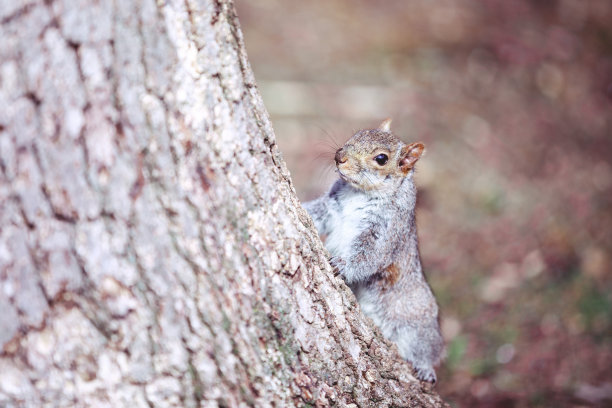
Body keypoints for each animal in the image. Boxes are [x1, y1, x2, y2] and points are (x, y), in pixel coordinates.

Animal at [304, 118, 442, 382]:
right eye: (359, 133)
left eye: (381, 158)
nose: (339, 156)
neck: (359, 193)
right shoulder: (331, 207)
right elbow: (317, 213)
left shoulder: (386, 230)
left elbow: (369, 256)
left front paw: (342, 265)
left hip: (419, 327)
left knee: (429, 350)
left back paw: (426, 368)